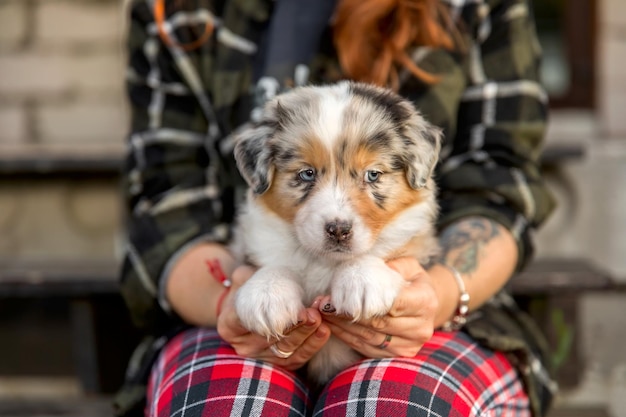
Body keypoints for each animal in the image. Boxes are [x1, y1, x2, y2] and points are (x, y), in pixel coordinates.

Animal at [229, 81, 438, 384]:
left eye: (373, 174)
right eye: (307, 173)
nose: (338, 230)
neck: (325, 261)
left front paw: (361, 280)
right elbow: (276, 264)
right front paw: (266, 295)